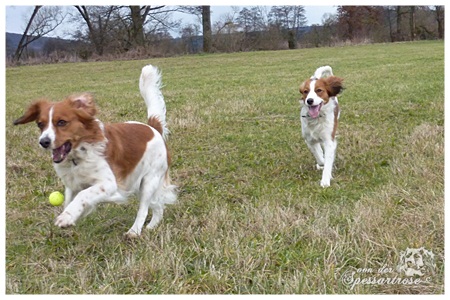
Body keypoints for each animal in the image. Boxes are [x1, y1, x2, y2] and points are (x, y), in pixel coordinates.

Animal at [14, 63, 176, 237]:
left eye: (62, 122)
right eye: (40, 124)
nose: (43, 141)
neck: (78, 156)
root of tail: (153, 127)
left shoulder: (108, 183)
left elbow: (83, 195)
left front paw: (66, 217)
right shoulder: (72, 185)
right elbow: (71, 200)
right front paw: (73, 214)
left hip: (149, 181)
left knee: (144, 208)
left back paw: (134, 231)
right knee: (158, 206)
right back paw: (152, 226)